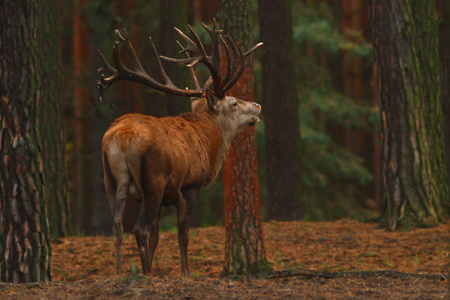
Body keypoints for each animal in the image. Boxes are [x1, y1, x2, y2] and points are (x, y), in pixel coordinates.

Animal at [96, 20, 262, 278]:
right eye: (234, 103)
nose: (257, 105)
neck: (209, 142)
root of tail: (122, 137)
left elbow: (155, 239)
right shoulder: (189, 187)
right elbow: (182, 237)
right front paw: (186, 274)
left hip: (111, 180)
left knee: (118, 227)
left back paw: (119, 274)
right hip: (153, 181)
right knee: (139, 229)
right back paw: (145, 275)